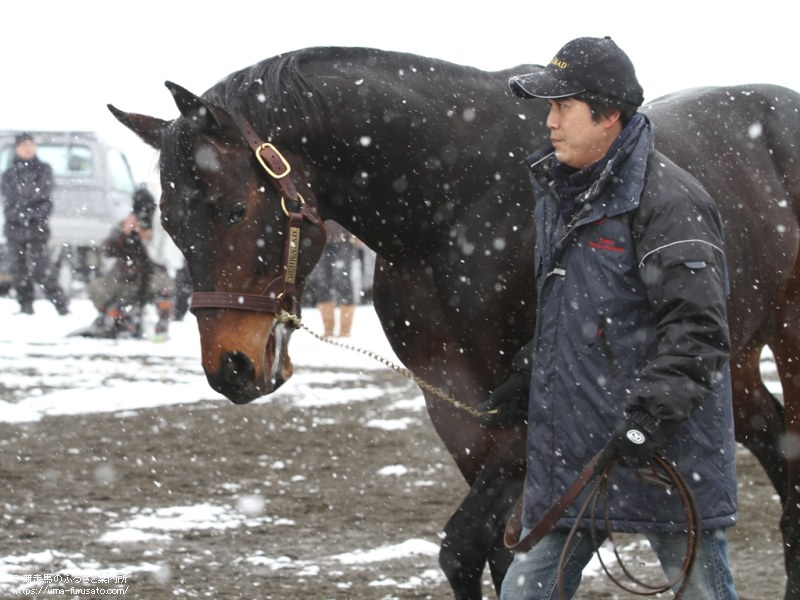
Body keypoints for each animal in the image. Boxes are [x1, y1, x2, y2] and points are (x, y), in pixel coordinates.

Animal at [108, 48, 800, 600]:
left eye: (233, 208)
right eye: (171, 225)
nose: (232, 367)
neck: (455, 203)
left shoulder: (528, 410)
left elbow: (470, 546)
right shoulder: (458, 407)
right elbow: (493, 554)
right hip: (726, 361)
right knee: (772, 440)